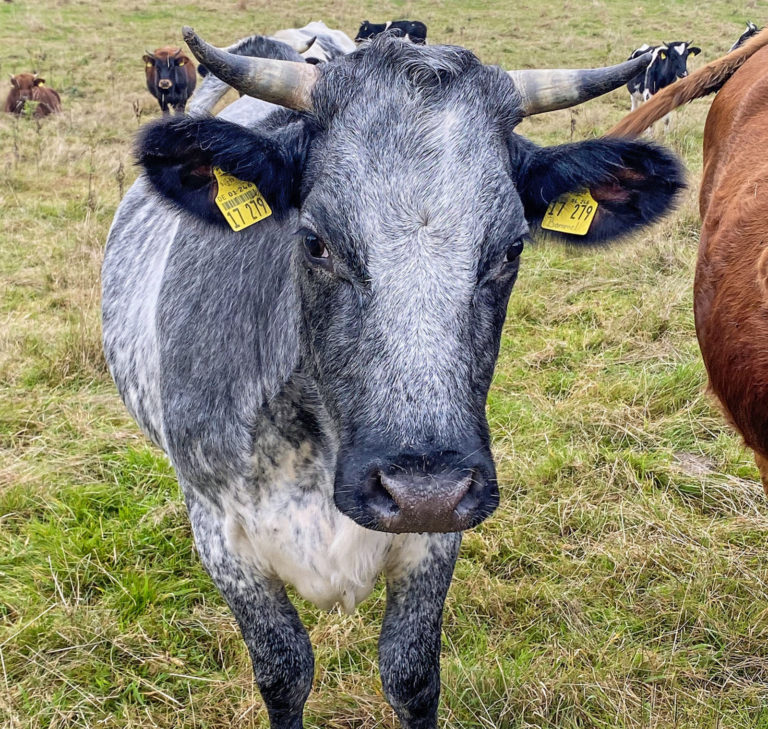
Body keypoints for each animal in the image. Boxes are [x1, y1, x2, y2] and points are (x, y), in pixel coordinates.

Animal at [103, 28, 684, 728]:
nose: (422, 493)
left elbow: (411, 674)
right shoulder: (223, 537)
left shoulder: (437, 542)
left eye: (512, 248)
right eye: (316, 242)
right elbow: (283, 672)